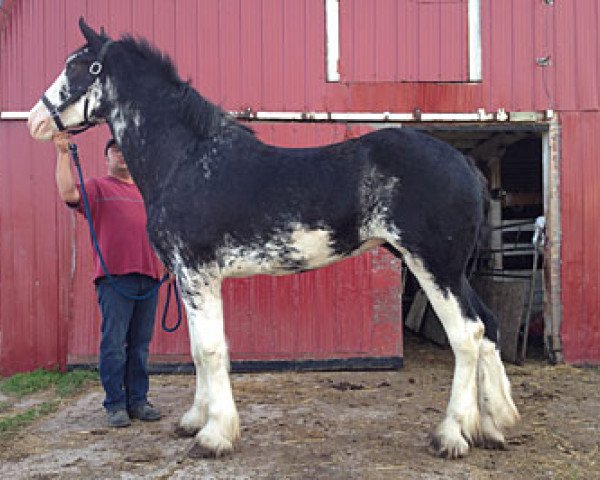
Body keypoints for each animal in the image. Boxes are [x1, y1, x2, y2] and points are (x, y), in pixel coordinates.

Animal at [25, 18, 516, 460]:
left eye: (79, 66)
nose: (34, 121)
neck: (188, 161)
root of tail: (463, 164)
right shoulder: (189, 278)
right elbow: (198, 350)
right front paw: (194, 421)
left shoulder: (197, 272)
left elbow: (208, 349)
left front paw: (214, 437)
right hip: (449, 268)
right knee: (487, 325)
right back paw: (493, 427)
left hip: (432, 264)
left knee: (467, 334)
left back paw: (451, 436)